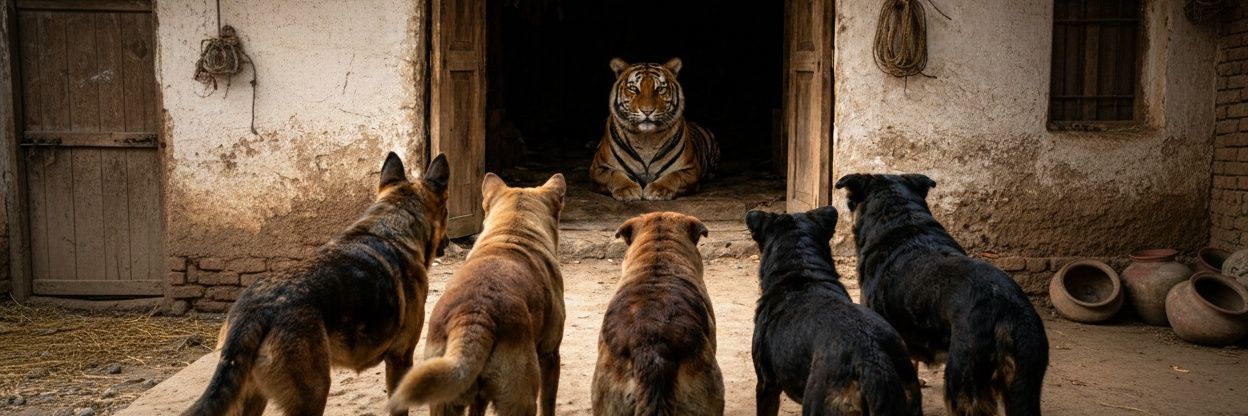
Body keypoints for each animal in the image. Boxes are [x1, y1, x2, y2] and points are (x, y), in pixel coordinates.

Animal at [591, 57, 720, 201]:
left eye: (660, 89)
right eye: (633, 88)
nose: (647, 111)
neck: (646, 139)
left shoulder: (690, 169)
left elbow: (674, 176)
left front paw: (658, 189)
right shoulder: (598, 168)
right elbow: (615, 175)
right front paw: (627, 190)